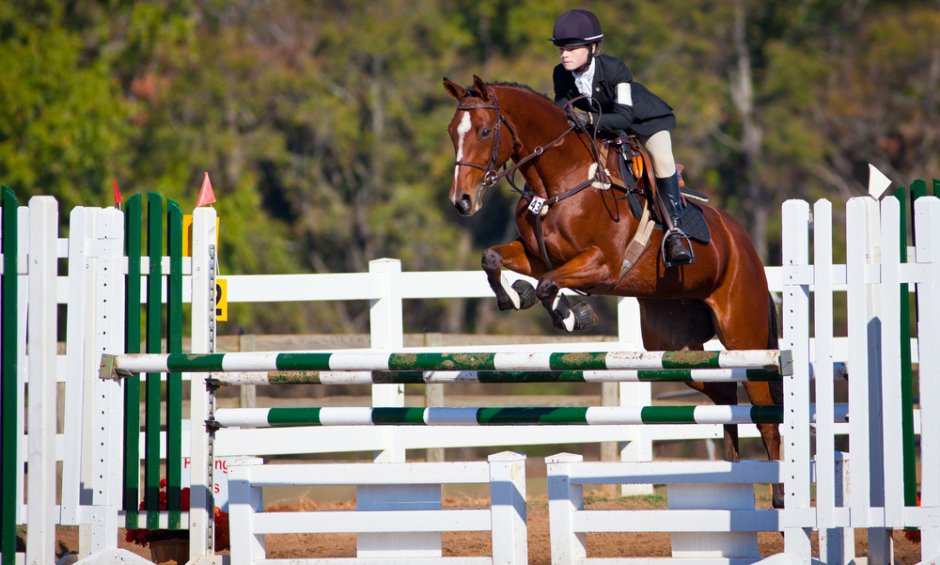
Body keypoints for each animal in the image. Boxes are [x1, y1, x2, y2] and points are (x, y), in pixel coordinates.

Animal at [444, 76, 784, 506]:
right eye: (451, 132)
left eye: (486, 132)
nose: (462, 202)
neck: (561, 178)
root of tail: (747, 246)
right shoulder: (537, 256)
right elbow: (494, 259)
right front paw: (514, 295)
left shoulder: (601, 265)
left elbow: (549, 284)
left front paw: (573, 315)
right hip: (673, 345)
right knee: (724, 396)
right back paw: (730, 482)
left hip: (744, 334)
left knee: (766, 416)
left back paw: (780, 496)